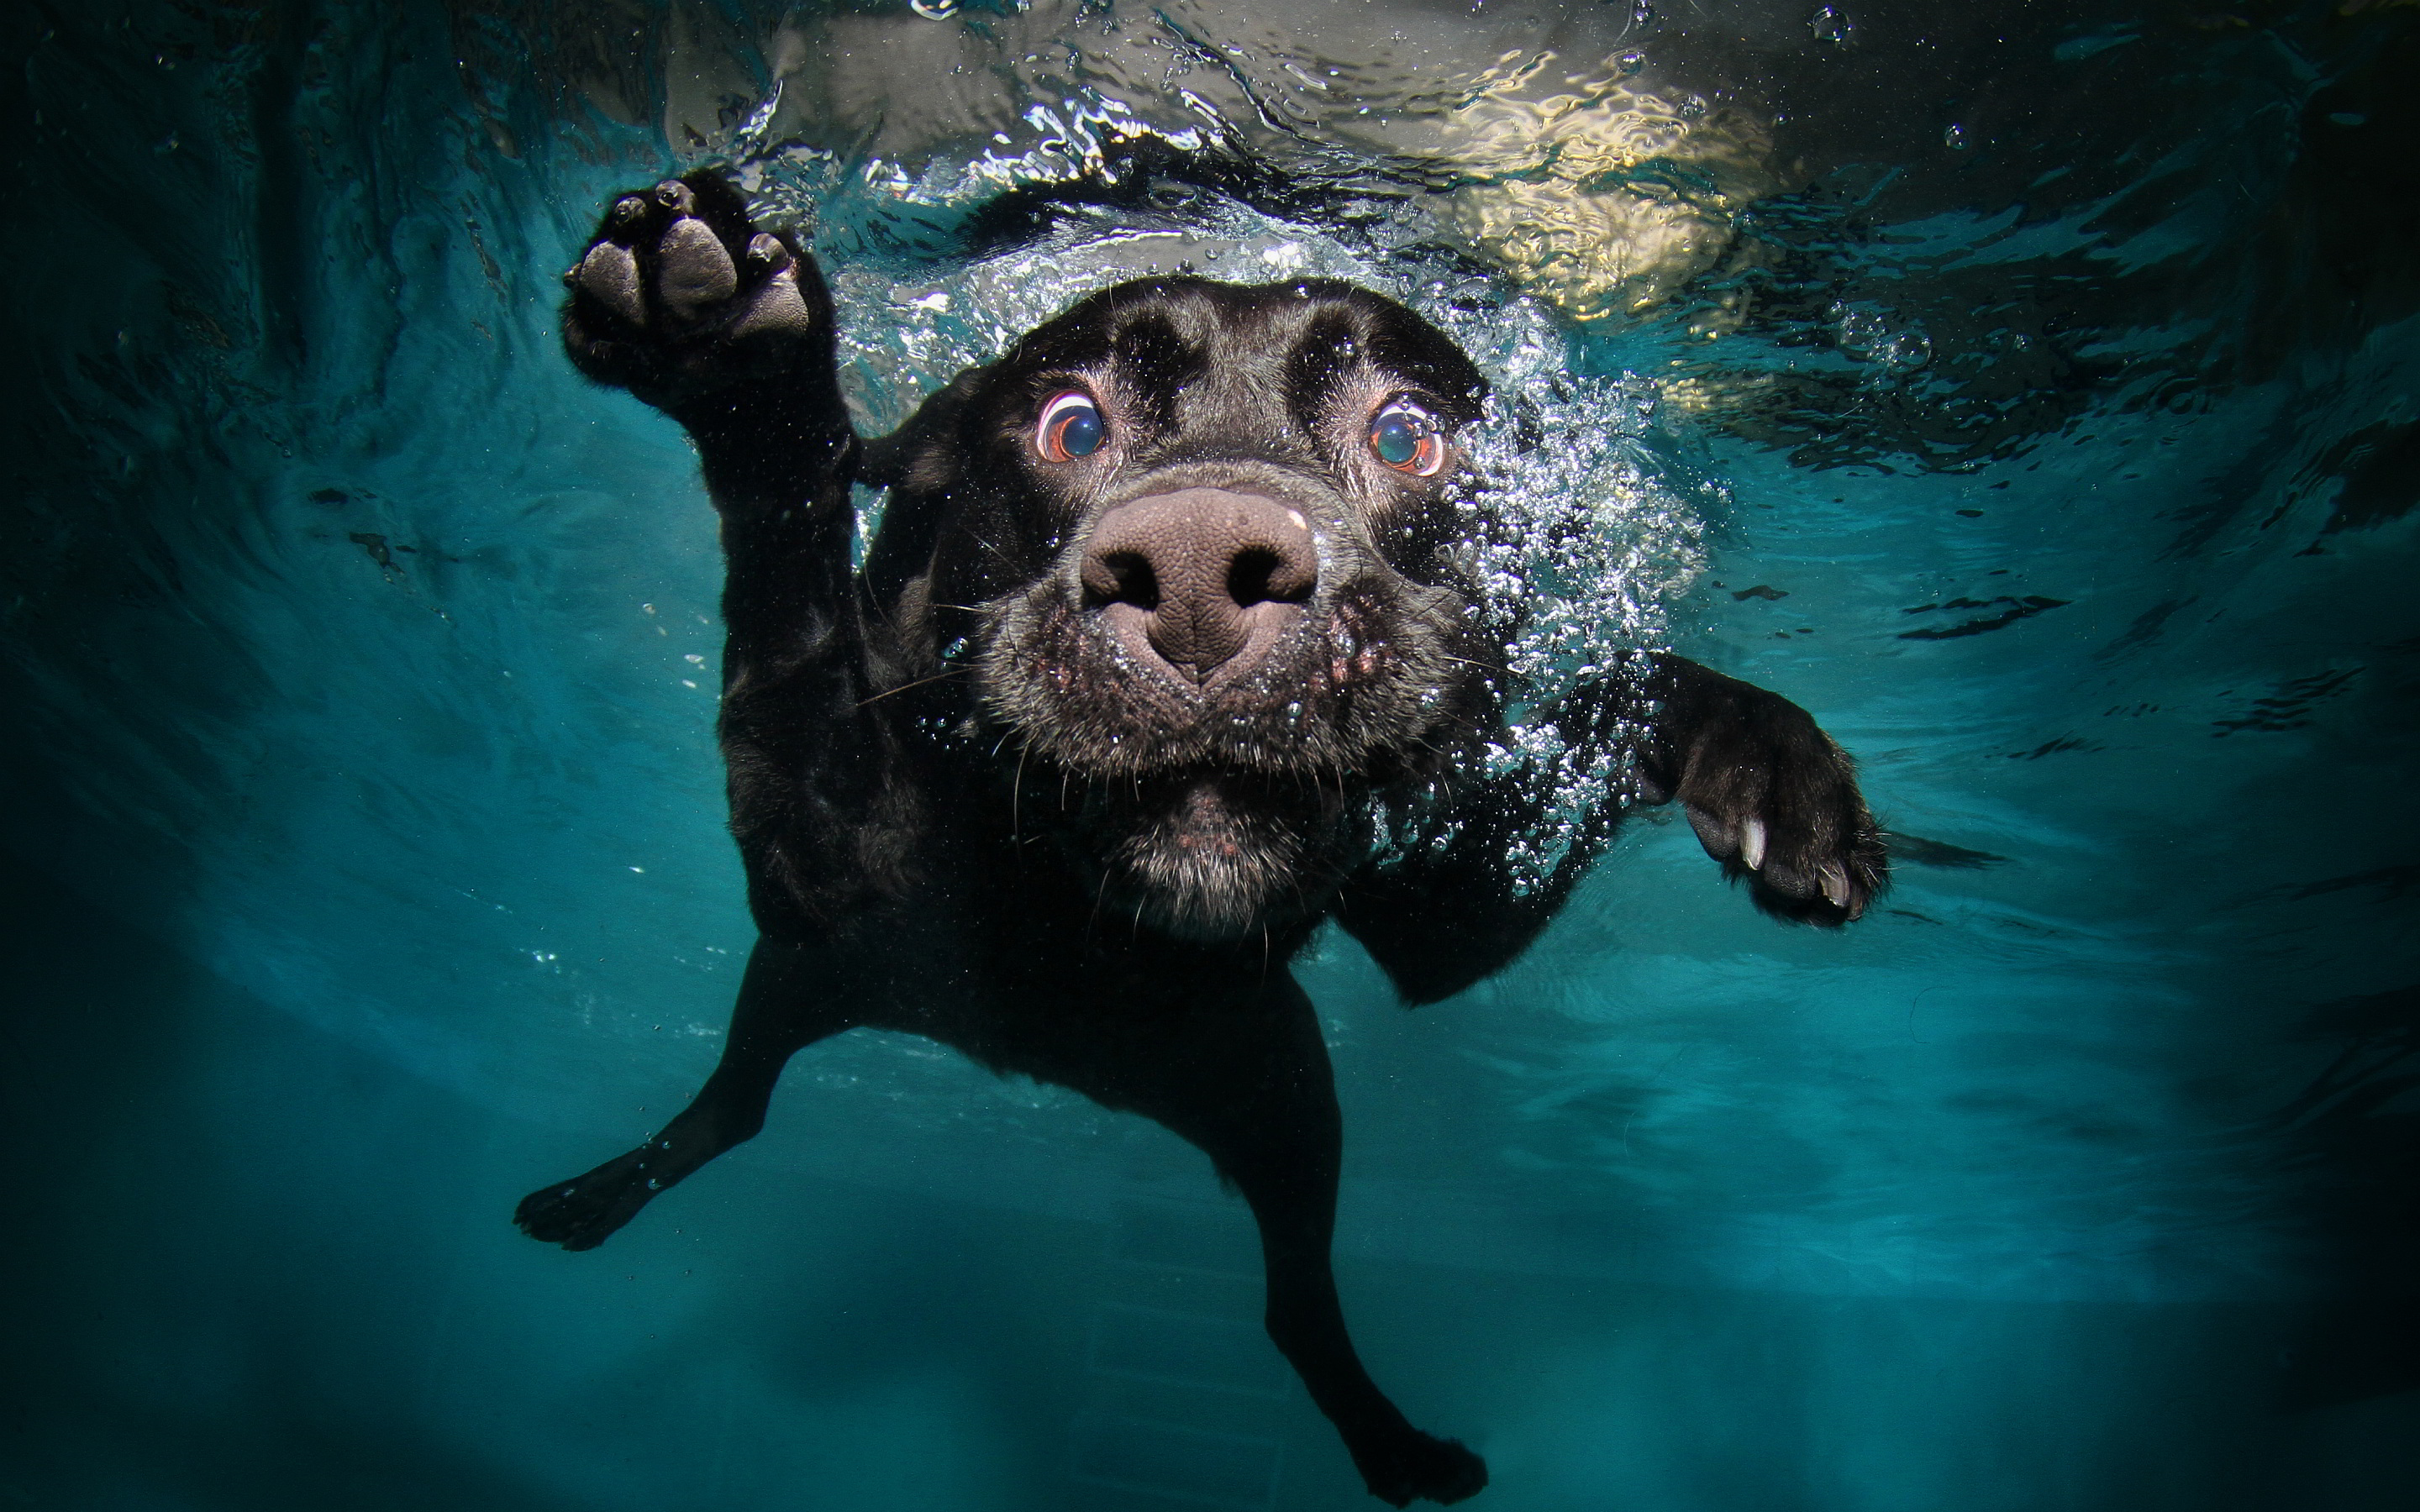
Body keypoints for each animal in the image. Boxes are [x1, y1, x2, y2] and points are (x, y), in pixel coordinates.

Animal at [520, 171, 1887, 1499]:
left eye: (1408, 435)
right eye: (1070, 426)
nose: (1190, 575)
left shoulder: (1445, 918)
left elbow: (1620, 690)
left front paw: (1769, 761)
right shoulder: (820, 863)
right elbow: (790, 607)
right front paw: (735, 359)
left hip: (1282, 1094)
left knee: (1294, 1306)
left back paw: (1397, 1449)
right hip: (810, 979)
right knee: (736, 1107)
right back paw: (594, 1198)